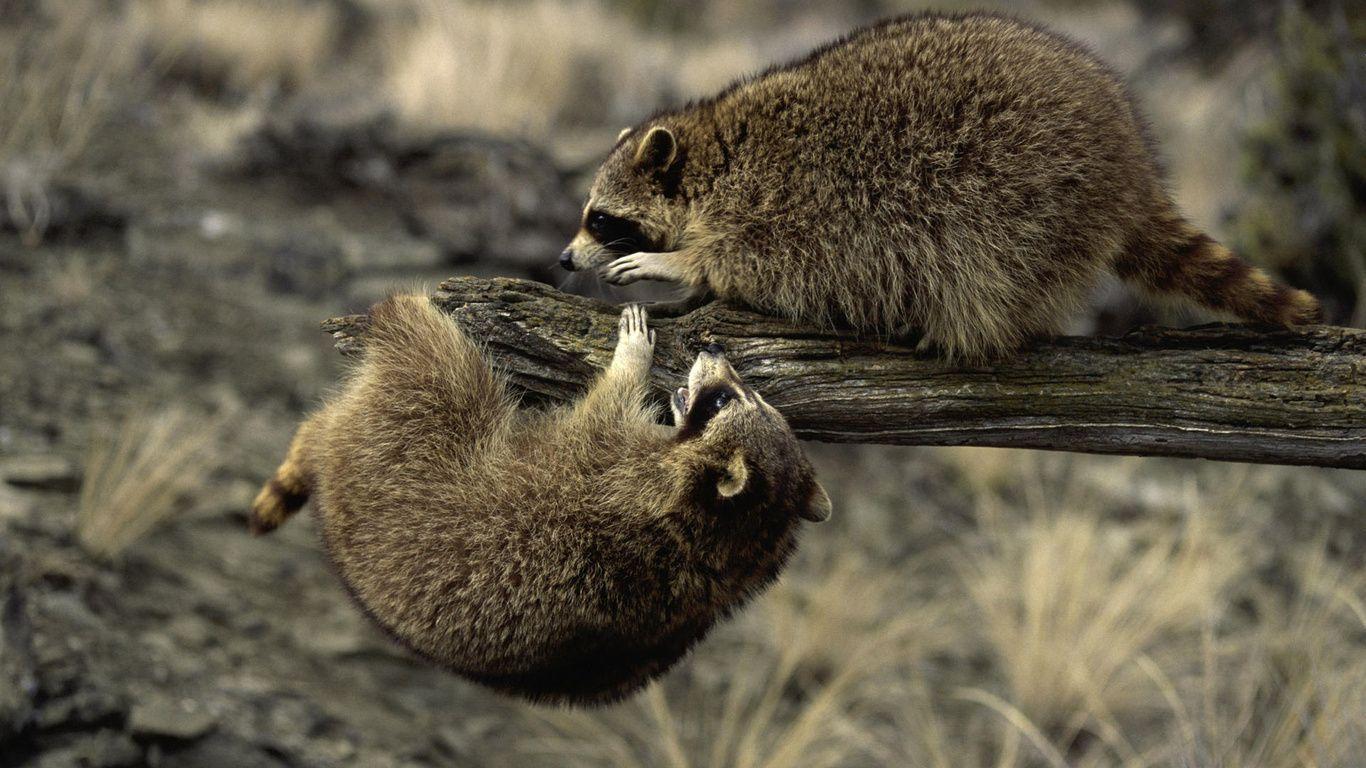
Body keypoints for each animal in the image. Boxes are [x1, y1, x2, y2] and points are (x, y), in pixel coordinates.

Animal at [249, 298, 830, 705]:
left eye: (722, 400)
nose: (714, 352)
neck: (736, 536)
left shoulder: (614, 466)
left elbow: (605, 406)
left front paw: (630, 361)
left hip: (399, 445)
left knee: (441, 367)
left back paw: (407, 315)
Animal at [559, 12, 1321, 361]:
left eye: (599, 219)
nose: (564, 258)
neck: (713, 153)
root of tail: (1129, 161)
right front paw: (688, 286)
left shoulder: (790, 206)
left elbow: (760, 263)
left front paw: (678, 263)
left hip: (1030, 194)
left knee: (990, 266)